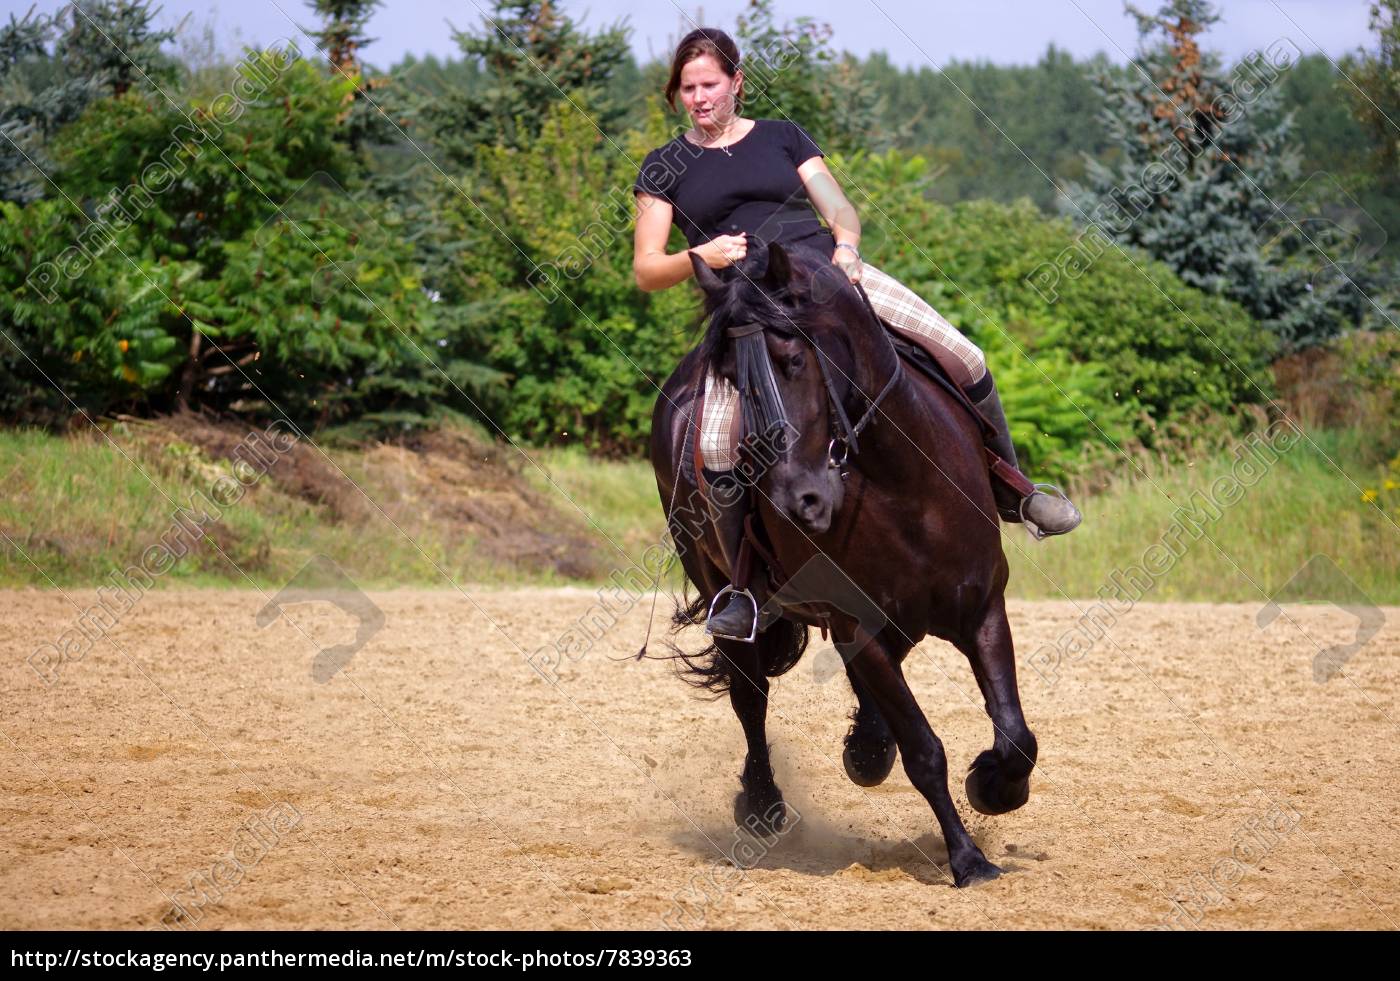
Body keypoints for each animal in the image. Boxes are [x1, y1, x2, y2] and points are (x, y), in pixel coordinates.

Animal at [646, 239, 1041, 890]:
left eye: (793, 361)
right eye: (728, 379)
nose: (797, 502)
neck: (900, 486)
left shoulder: (982, 606)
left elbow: (1014, 734)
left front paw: (993, 787)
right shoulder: (858, 625)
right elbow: (924, 751)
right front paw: (967, 860)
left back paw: (866, 750)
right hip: (727, 592)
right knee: (750, 697)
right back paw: (763, 805)